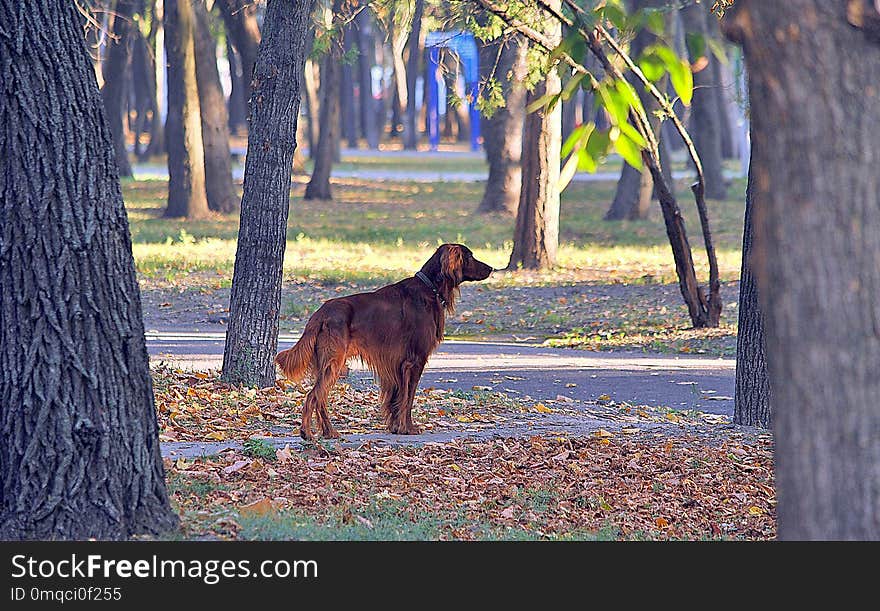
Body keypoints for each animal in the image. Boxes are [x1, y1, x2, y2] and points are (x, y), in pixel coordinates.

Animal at [276, 244, 496, 440]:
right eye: (470, 256)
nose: (492, 268)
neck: (430, 288)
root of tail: (320, 314)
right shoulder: (415, 361)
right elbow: (408, 398)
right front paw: (408, 428)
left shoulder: (397, 365)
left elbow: (396, 399)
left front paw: (396, 427)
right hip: (334, 362)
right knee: (313, 396)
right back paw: (307, 433)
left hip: (328, 363)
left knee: (320, 398)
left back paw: (330, 432)